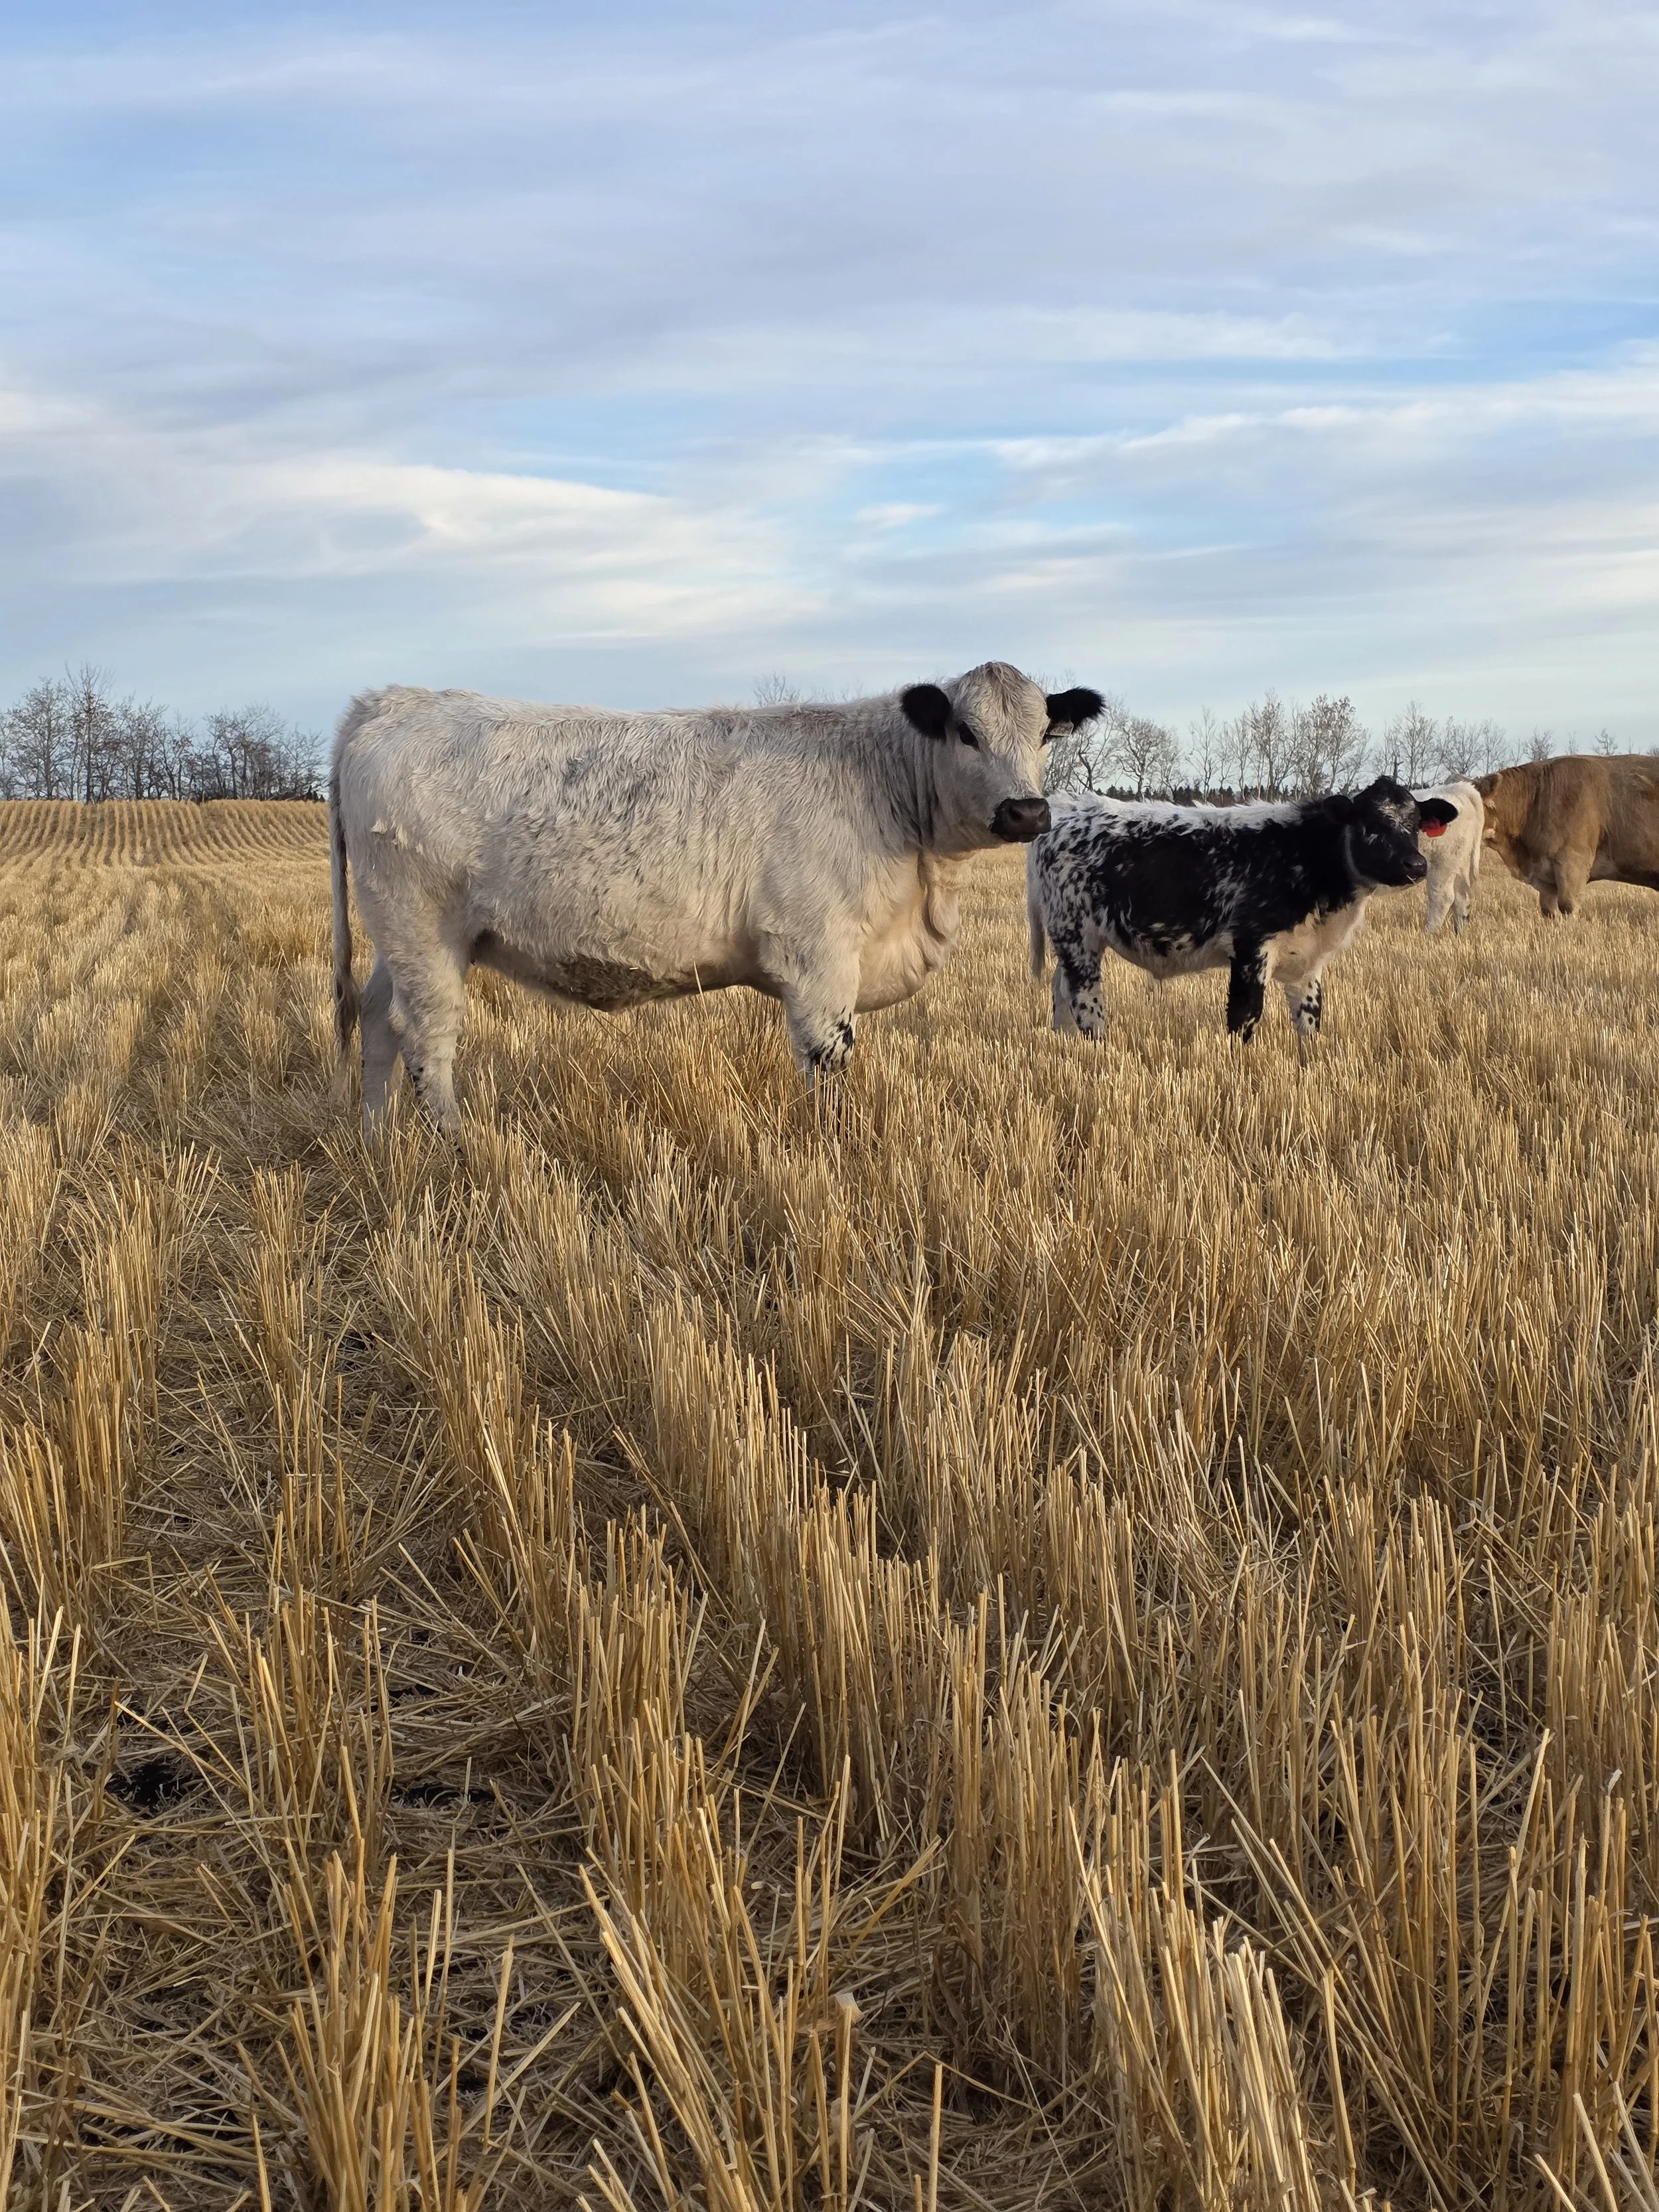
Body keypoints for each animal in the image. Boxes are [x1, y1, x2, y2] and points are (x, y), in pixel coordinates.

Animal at [329, 665, 1104, 1130]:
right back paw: (452, 1148)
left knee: (375, 1021)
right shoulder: (818, 961)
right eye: (965, 731)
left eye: (1043, 731)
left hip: (399, 939)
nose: (1028, 811)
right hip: (423, 930)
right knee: (424, 1037)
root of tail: (391, 701)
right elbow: (827, 1069)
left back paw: (378, 1142)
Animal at [1025, 777, 1460, 1043]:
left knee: (1060, 991)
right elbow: (1244, 1017)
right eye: (1371, 823)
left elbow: (1310, 1023)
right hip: (1077, 937)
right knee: (1085, 1001)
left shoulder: (1308, 962)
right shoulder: (1252, 947)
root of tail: (1065, 807)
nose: (1416, 865)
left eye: (1416, 823)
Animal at [1413, 778, 1484, 934]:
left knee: (1443, 898)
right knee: (1462, 898)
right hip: (1460, 864)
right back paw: (1460, 933)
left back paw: (1429, 934)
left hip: (1442, 865)